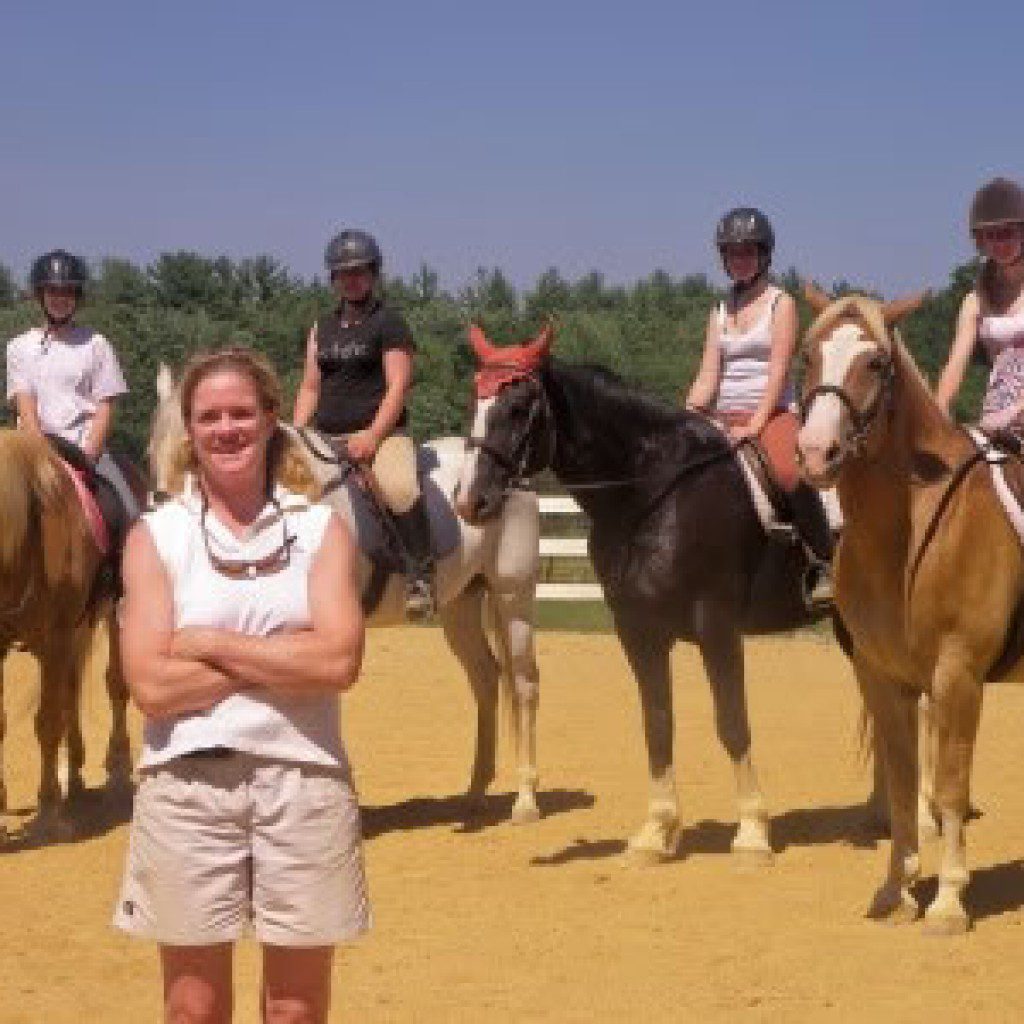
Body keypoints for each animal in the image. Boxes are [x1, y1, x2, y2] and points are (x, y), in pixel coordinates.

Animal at [0, 429, 132, 835]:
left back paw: (117, 768)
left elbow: (47, 720)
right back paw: (73, 774)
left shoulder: (55, 637)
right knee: (72, 691)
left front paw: (47, 809)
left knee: (115, 685)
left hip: (114, 614)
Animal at [148, 364, 544, 824]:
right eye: (152, 450)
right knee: (485, 679)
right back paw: (476, 793)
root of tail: (512, 477)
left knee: (524, 684)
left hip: (513, 598)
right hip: (461, 605)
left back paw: (525, 800)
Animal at [456, 323, 833, 863]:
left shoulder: (716, 626)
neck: (653, 489)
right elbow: (657, 721)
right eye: (476, 400)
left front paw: (752, 831)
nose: (471, 501)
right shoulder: (638, 630)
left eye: (520, 407)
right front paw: (658, 830)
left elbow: (732, 721)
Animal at [795, 285, 1024, 934]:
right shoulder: (882, 677)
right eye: (807, 356)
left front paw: (948, 902)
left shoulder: (958, 676)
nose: (815, 452)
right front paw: (896, 892)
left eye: (876, 363)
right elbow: (901, 786)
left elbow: (949, 787)